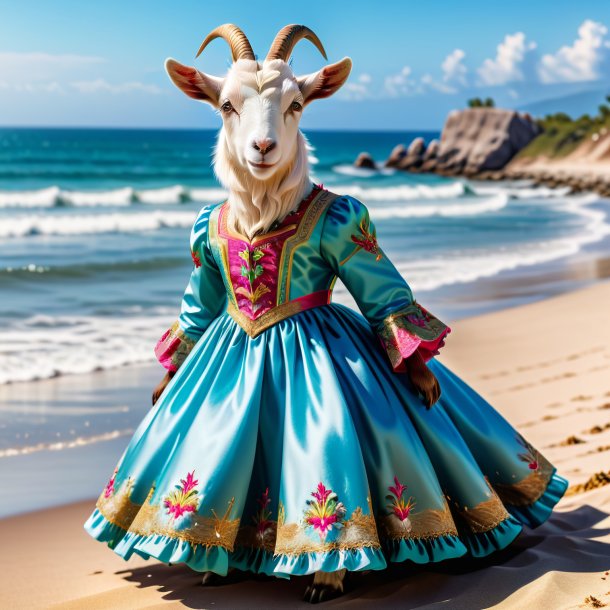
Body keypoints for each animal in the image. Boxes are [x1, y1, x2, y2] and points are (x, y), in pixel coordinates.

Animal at [165, 22, 352, 600]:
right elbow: (199, 306)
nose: (263, 147)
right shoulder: (205, 250)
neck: (259, 217)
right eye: (226, 104)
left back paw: (326, 575)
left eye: (296, 104)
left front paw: (327, 572)